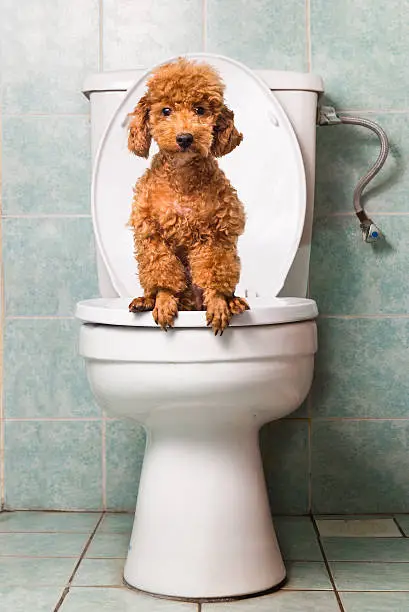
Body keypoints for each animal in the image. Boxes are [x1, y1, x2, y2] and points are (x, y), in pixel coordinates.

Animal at [127, 58, 249, 334]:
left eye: (200, 110)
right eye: (166, 111)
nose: (184, 138)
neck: (182, 180)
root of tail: (191, 305)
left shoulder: (216, 232)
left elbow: (214, 272)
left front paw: (219, 303)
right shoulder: (152, 233)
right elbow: (163, 271)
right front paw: (163, 301)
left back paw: (233, 301)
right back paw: (145, 300)